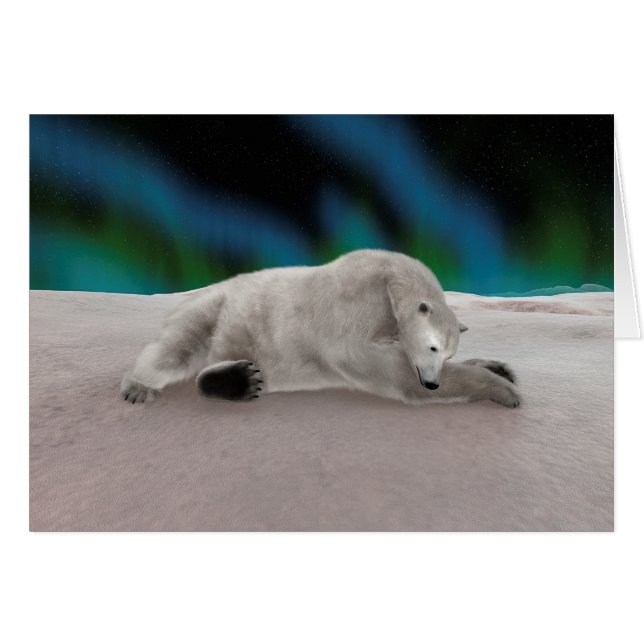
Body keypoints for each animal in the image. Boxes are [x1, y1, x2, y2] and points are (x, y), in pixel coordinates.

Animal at [121, 249, 520, 408]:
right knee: (176, 348)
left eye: (448, 352)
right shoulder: (356, 310)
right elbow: (392, 373)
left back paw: (240, 379)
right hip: (213, 307)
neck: (390, 283)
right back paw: (139, 387)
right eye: (433, 347)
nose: (432, 383)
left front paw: (500, 367)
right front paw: (504, 390)